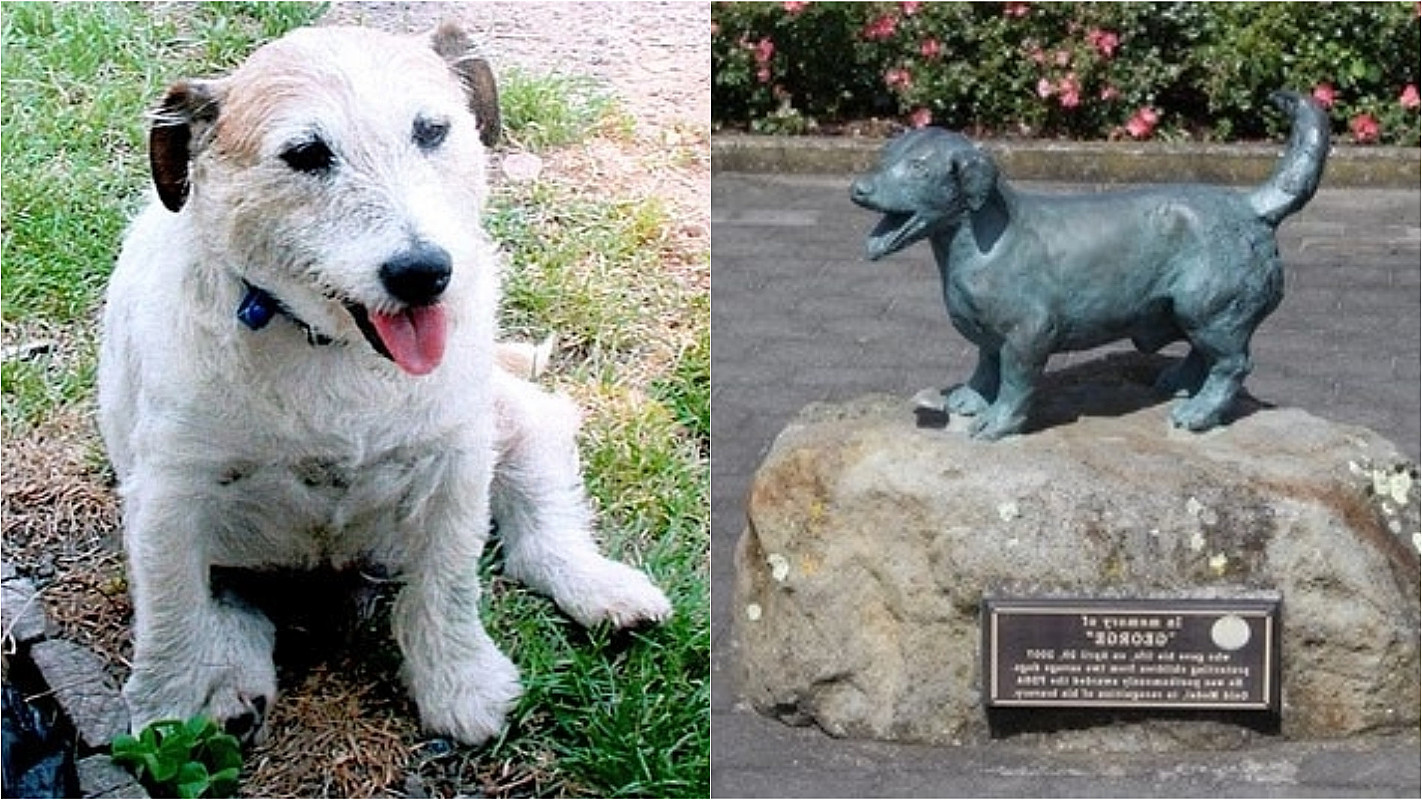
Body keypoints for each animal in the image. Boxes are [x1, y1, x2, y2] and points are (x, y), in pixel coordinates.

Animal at [98, 21, 671, 750]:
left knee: (540, 523)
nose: (424, 273)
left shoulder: (456, 467)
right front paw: (167, 716)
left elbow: (447, 587)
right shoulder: (169, 496)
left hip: (509, 419)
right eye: (306, 154)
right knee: (223, 605)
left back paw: (600, 588)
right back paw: (228, 687)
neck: (333, 351)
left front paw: (460, 684)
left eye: (431, 131)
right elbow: (172, 616)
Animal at [853, 94, 1330, 443]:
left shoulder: (1029, 334)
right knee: (1205, 357)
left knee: (1233, 365)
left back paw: (1198, 413)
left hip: (1211, 309)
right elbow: (985, 363)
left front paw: (998, 422)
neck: (985, 241)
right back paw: (1179, 382)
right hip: (1193, 313)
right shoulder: (988, 331)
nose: (859, 188)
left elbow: (1015, 382)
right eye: (886, 156)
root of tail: (1249, 207)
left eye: (918, 168)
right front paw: (970, 399)